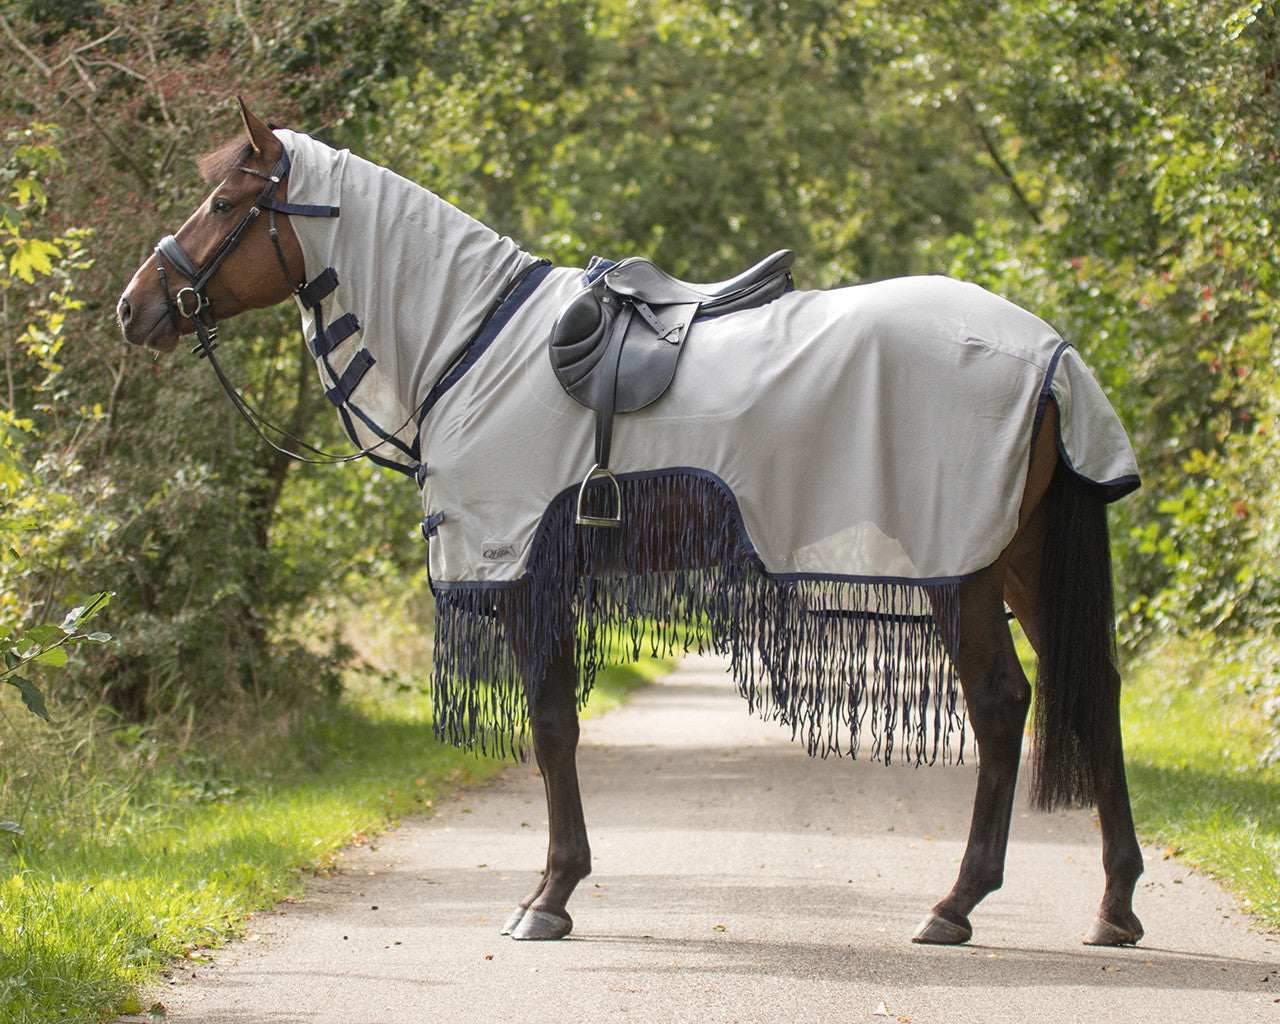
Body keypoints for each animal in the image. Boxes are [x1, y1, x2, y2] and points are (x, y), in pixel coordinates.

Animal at [115, 99, 1146, 947]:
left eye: (224, 205)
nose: (135, 307)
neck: (470, 343)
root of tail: (1050, 352)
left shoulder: (524, 574)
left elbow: (550, 729)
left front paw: (550, 898)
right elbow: (557, 728)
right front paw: (553, 889)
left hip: (963, 573)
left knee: (1005, 706)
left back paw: (956, 904)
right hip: (1017, 559)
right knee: (1093, 690)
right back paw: (1114, 904)